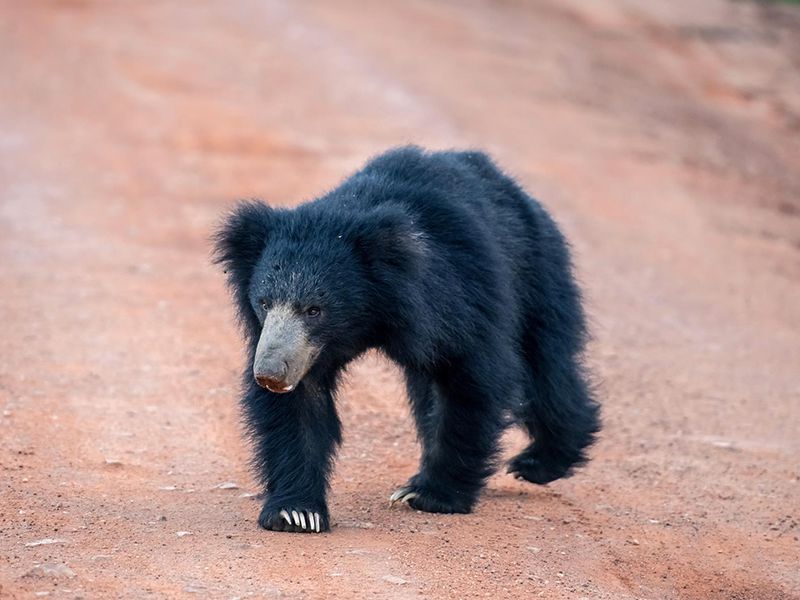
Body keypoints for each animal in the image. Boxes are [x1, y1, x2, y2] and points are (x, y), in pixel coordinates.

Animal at [214, 146, 600, 536]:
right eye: (264, 303)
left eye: (314, 310)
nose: (270, 374)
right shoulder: (305, 351)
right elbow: (300, 406)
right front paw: (296, 513)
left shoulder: (457, 296)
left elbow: (470, 379)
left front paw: (432, 495)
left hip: (536, 270)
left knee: (546, 364)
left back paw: (539, 462)